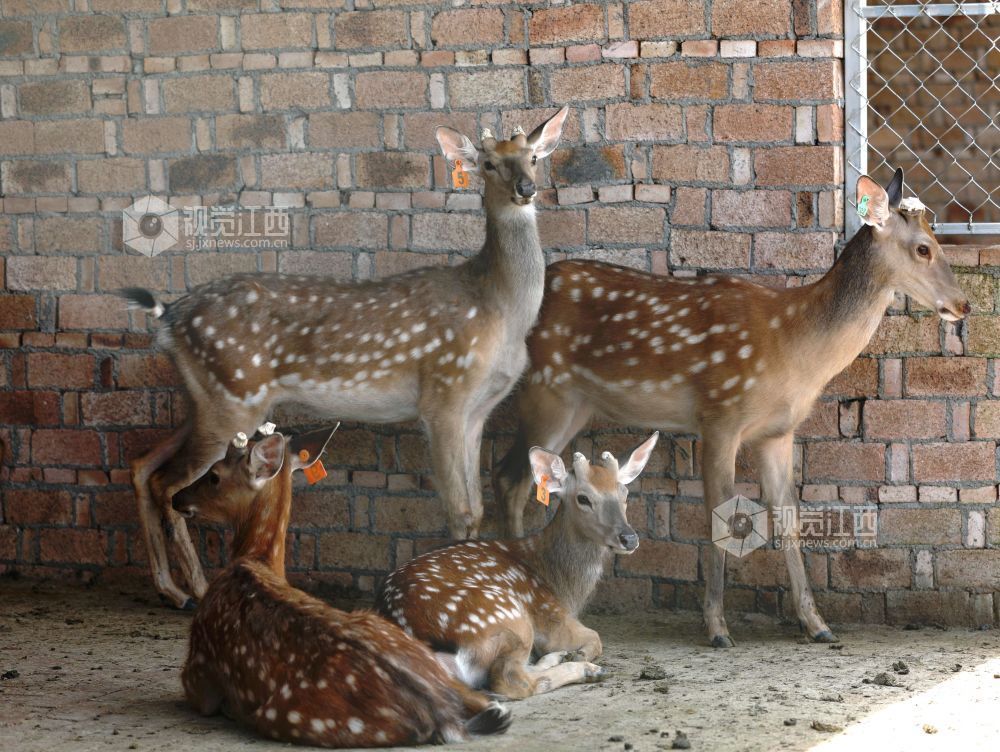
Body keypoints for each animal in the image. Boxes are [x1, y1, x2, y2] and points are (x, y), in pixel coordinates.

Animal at [123, 106, 570, 609]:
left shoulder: (478, 409)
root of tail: (171, 316)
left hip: (210, 397)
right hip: (232, 396)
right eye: (489, 163)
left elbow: (475, 507)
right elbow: (460, 510)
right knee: (167, 483)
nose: (526, 187)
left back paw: (170, 589)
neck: (500, 310)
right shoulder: (443, 396)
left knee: (142, 465)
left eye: (533, 157)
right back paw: (195, 590)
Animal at [171, 424, 512, 747]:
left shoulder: (198, 669)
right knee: (490, 704)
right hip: (408, 642)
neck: (253, 561)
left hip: (292, 716)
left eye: (214, 476)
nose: (176, 497)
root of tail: (440, 713)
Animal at [377, 433, 659, 699]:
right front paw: (579, 655)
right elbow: (596, 638)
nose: (629, 538)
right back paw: (587, 670)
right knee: (512, 680)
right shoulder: (551, 617)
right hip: (508, 616)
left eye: (625, 493)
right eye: (583, 498)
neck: (562, 587)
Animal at [493, 169, 971, 648]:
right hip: (545, 390)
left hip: (575, 404)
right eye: (924, 247)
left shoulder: (777, 432)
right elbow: (721, 517)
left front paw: (817, 624)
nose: (964, 304)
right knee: (510, 478)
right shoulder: (719, 415)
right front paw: (717, 628)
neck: (792, 345)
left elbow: (788, 517)